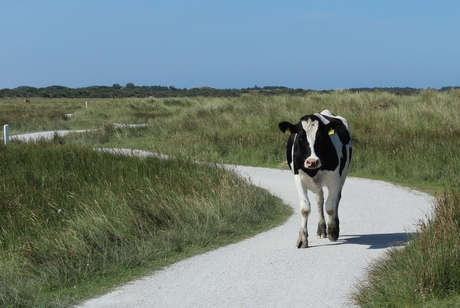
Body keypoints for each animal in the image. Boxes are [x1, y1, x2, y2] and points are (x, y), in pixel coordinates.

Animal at [278, 110, 354, 248]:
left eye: (322, 137)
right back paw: (321, 229)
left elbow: (330, 207)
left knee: (336, 199)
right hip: (315, 184)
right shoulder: (299, 179)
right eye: (300, 137)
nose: (312, 161)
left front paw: (332, 232)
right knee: (319, 199)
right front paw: (302, 239)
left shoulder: (335, 179)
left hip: (344, 174)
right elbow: (305, 208)